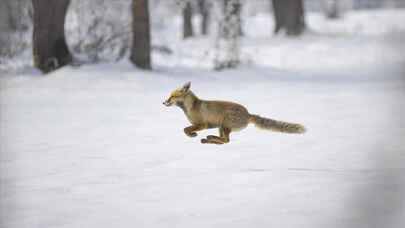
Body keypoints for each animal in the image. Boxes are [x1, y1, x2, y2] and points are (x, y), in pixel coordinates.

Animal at [163, 82, 304, 144]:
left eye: (172, 96)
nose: (163, 102)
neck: (191, 107)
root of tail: (248, 114)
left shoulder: (202, 124)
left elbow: (185, 129)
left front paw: (192, 135)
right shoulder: (204, 125)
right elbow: (185, 129)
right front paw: (193, 135)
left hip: (225, 125)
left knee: (226, 141)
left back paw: (209, 138)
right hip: (221, 127)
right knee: (224, 141)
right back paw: (209, 139)